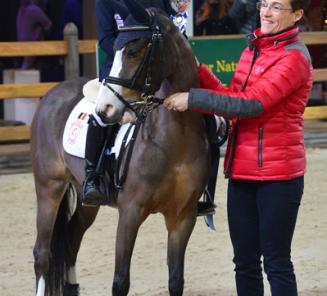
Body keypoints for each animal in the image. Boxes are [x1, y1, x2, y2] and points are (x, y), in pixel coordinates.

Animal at [30, 1, 210, 294]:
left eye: (134, 51)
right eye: (115, 49)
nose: (105, 109)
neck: (176, 137)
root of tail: (51, 94)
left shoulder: (183, 217)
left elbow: (176, 280)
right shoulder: (130, 213)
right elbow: (120, 281)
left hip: (85, 199)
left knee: (71, 240)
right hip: (49, 187)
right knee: (42, 255)